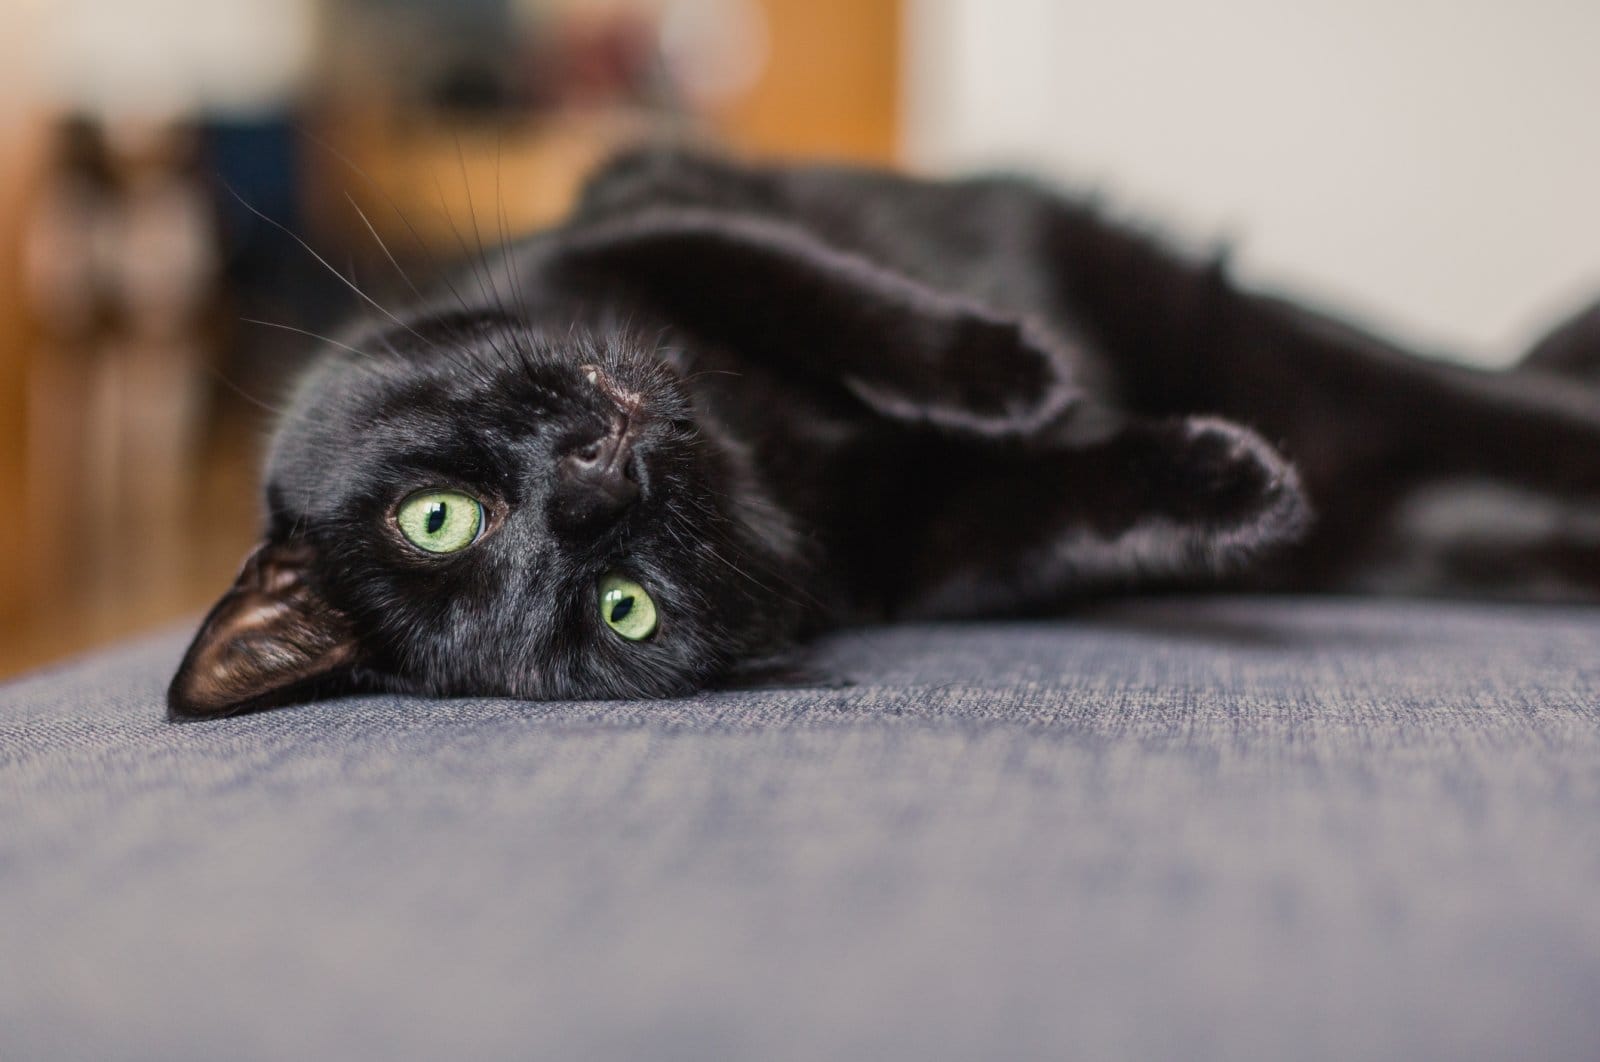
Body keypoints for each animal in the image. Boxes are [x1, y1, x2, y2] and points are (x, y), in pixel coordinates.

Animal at [168, 145, 1600, 716]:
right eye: (620, 609)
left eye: (435, 515)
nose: (598, 474)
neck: (758, 451)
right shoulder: (921, 551)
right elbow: (1065, 514)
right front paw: (1225, 487)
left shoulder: (647, 217)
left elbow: (819, 292)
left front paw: (1006, 371)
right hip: (1407, 521)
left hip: (1244, 331)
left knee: (1468, 394)